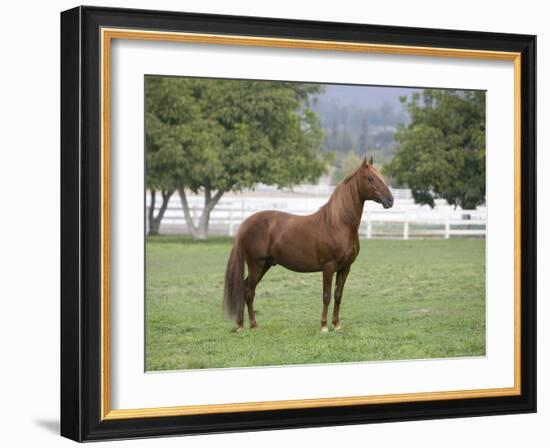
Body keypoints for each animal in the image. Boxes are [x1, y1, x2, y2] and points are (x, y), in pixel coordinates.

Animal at [222, 158, 394, 332]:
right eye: (370, 178)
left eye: (381, 176)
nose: (390, 200)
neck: (338, 224)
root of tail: (245, 223)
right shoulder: (329, 267)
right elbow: (326, 296)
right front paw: (324, 326)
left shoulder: (345, 268)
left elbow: (338, 295)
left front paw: (337, 324)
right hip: (256, 265)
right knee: (249, 292)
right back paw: (250, 325)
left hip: (265, 265)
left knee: (245, 289)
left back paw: (243, 324)